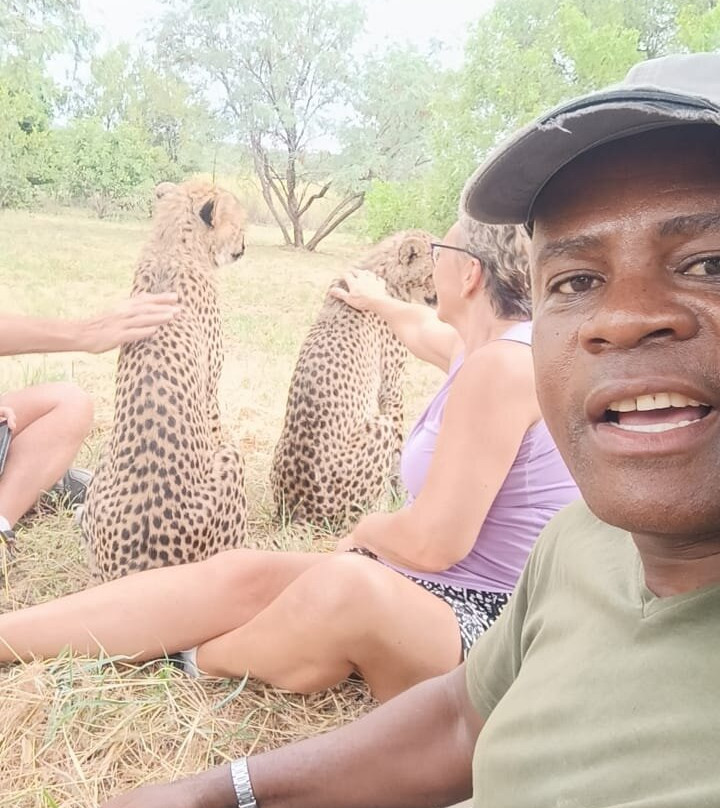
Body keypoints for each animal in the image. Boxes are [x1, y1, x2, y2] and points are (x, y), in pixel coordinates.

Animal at [82, 179, 248, 581]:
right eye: (240, 225)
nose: (244, 246)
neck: (173, 246)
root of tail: (141, 565)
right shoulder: (210, 391)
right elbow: (216, 426)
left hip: (101, 469)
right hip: (231, 464)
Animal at [270, 229, 437, 526]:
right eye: (432, 272)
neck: (387, 276)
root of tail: (301, 511)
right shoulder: (391, 385)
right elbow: (399, 445)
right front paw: (398, 492)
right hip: (378, 428)